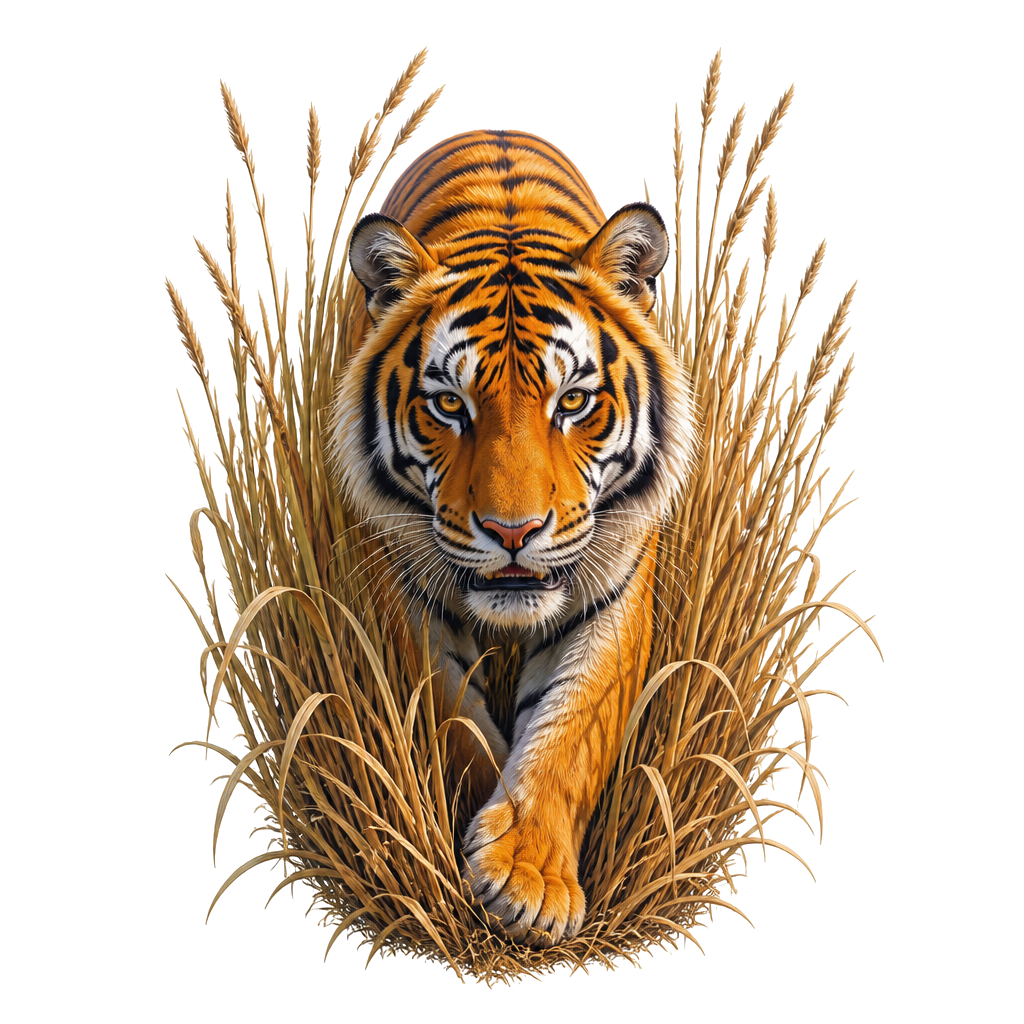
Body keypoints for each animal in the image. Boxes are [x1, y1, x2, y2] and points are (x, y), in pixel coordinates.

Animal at [331, 130, 696, 946]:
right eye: (448, 405)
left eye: (574, 402)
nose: (513, 531)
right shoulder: (401, 589)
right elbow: (453, 721)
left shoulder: (615, 591)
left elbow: (569, 732)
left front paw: (529, 880)